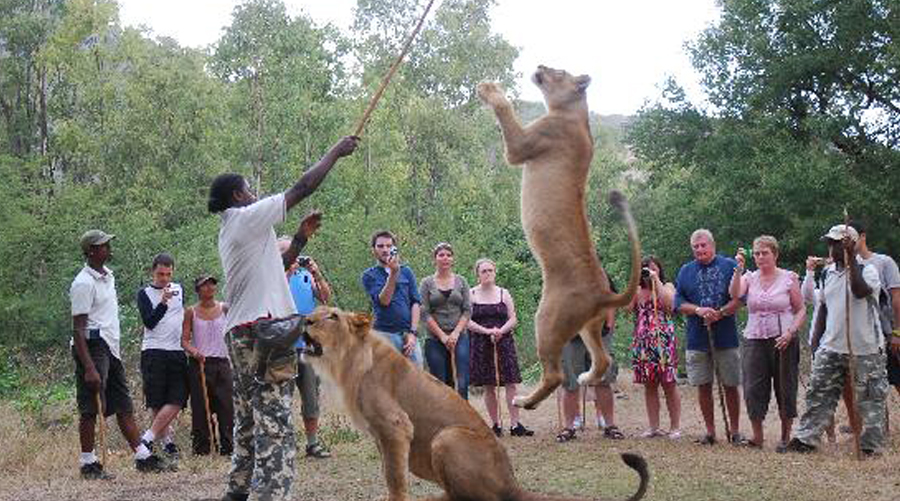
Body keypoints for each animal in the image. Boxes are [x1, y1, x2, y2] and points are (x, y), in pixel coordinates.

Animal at [300, 306, 648, 501]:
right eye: (315, 311)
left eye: (332, 316)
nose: (304, 320)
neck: (344, 362)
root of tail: (512, 483)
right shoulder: (382, 436)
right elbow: (390, 470)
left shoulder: (396, 426)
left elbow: (395, 478)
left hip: (447, 437)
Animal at [476, 66, 641, 410]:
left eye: (558, 71)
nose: (539, 66)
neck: (573, 114)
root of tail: (603, 293)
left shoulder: (522, 145)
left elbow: (505, 110)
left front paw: (489, 89)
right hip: (591, 326)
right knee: (603, 361)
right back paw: (586, 377)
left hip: (547, 319)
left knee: (553, 375)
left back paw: (524, 401)